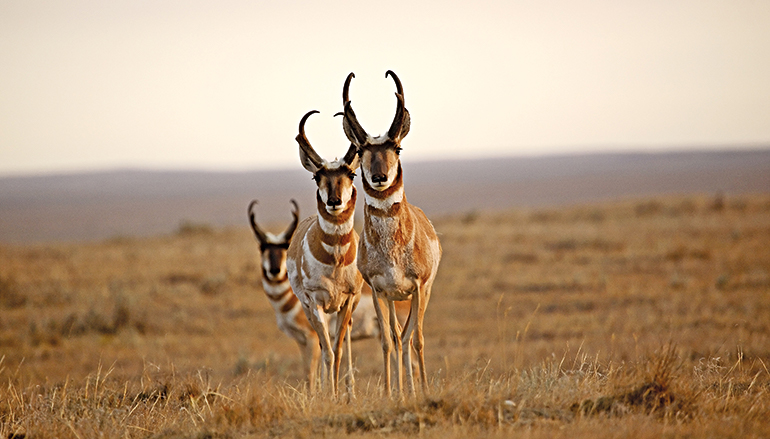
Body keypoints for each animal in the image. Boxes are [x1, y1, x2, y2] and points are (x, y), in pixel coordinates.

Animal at [284, 110, 364, 398]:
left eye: (351, 174)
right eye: (317, 177)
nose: (334, 201)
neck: (335, 262)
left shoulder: (348, 300)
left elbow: (338, 350)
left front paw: (341, 396)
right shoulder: (315, 303)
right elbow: (327, 350)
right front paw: (329, 395)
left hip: (344, 309)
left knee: (345, 339)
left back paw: (350, 391)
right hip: (313, 310)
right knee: (321, 342)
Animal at [338, 70, 440, 398]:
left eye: (397, 147)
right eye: (361, 150)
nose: (380, 177)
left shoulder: (418, 288)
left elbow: (418, 339)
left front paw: (423, 390)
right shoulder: (380, 291)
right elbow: (386, 340)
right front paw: (388, 392)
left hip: (420, 295)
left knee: (409, 337)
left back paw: (415, 389)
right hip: (395, 299)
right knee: (397, 336)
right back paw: (403, 389)